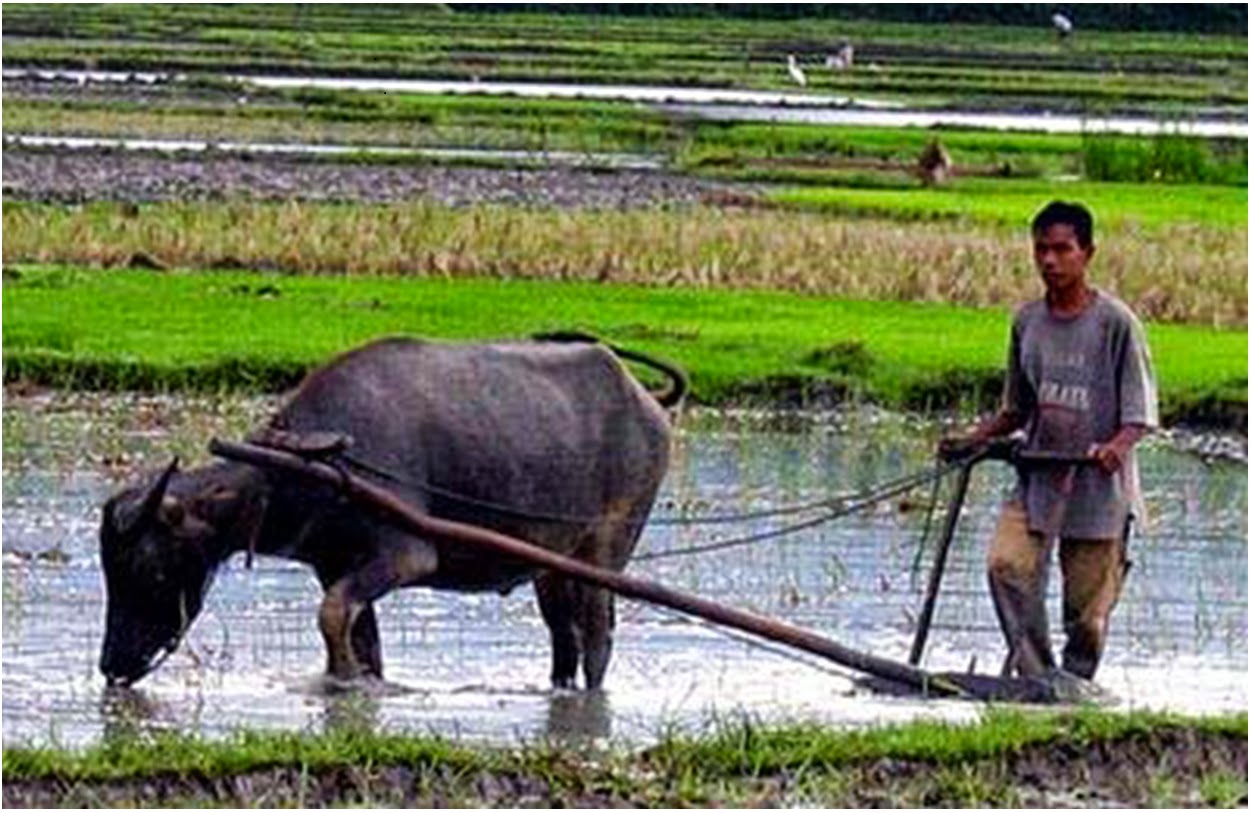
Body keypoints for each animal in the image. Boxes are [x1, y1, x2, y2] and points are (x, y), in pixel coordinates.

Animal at [97, 332, 685, 685]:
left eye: (150, 569)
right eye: (112, 573)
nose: (111, 666)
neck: (311, 469)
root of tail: (646, 400)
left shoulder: (406, 556)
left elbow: (332, 615)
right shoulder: (335, 566)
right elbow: (359, 637)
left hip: (607, 550)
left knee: (598, 635)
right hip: (550, 566)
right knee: (564, 637)